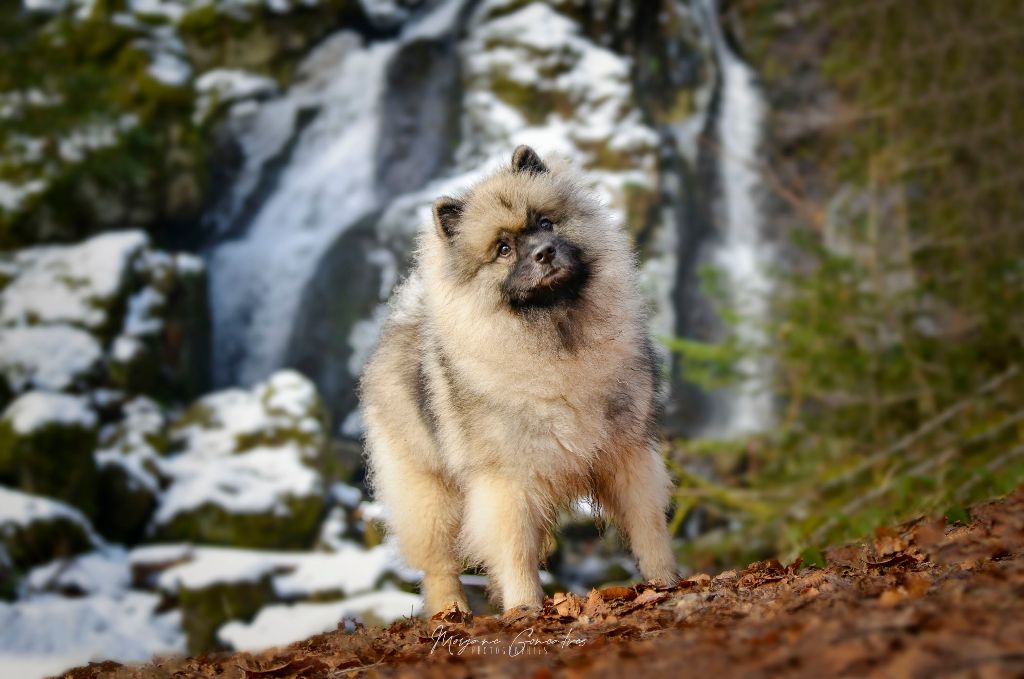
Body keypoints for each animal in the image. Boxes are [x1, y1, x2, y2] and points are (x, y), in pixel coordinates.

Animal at [360, 144, 679, 614]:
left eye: (545, 223)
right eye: (504, 249)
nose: (545, 252)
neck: (558, 340)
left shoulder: (627, 455)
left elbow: (648, 527)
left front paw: (664, 582)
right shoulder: (508, 484)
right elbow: (514, 551)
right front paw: (525, 606)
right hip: (429, 495)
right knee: (440, 566)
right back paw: (451, 614)